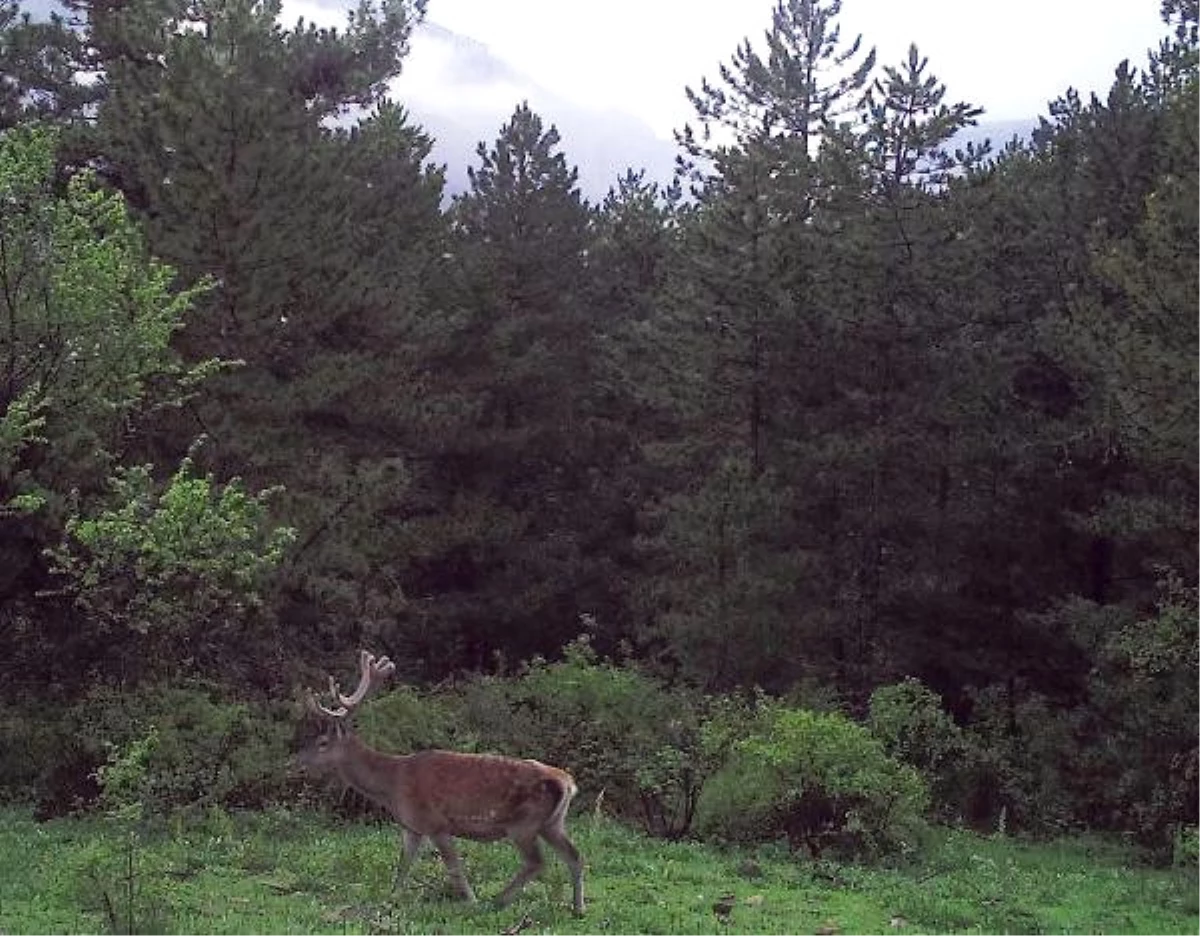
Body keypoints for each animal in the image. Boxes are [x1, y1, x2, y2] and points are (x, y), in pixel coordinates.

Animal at [297, 652, 583, 912]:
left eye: (323, 743)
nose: (298, 760)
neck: (391, 783)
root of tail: (568, 782)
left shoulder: (436, 823)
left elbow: (454, 868)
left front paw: (471, 901)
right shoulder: (412, 826)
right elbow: (403, 866)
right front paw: (391, 899)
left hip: (523, 823)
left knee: (536, 862)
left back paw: (498, 900)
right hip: (552, 822)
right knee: (574, 855)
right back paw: (577, 908)